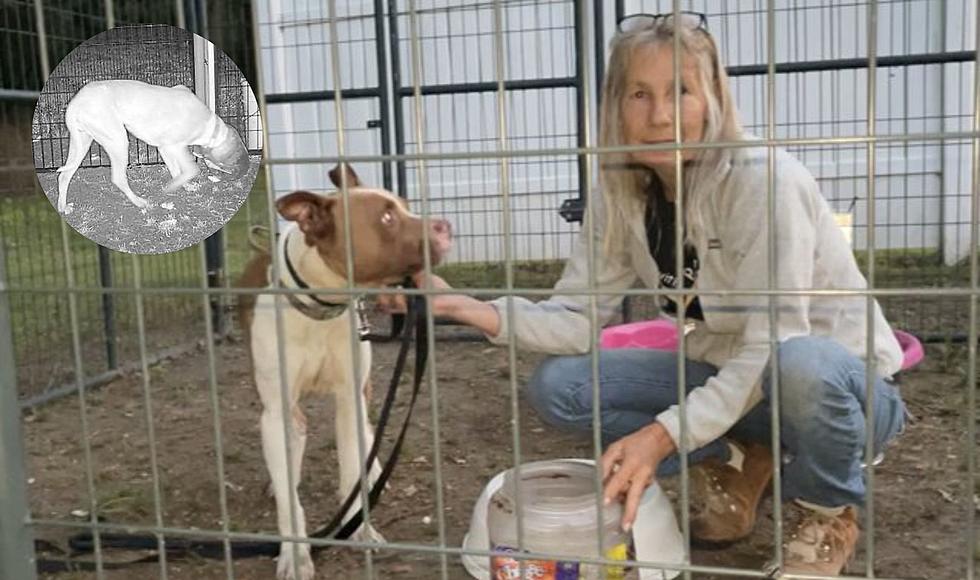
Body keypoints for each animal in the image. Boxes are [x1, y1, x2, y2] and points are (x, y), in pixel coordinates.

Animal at [55, 80, 251, 214]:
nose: (241, 172)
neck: (213, 130)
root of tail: (74, 105)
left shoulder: (165, 148)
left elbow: (177, 171)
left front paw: (183, 186)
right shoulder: (177, 147)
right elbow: (192, 169)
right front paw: (170, 188)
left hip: (82, 142)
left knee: (64, 176)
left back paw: (63, 207)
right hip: (118, 141)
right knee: (118, 178)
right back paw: (139, 202)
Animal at [237, 165, 452, 576]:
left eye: (405, 206)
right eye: (386, 218)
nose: (444, 226)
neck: (322, 305)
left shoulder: (351, 397)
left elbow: (352, 465)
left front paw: (360, 528)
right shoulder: (277, 410)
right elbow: (290, 501)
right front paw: (295, 554)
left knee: (366, 438)